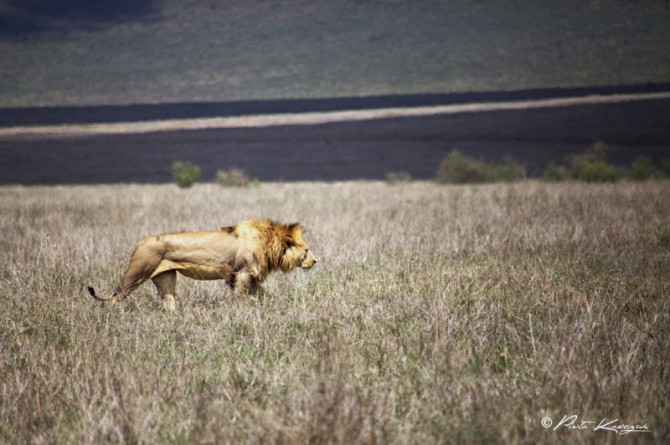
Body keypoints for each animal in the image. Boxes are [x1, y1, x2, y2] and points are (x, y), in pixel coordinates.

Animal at [88, 218, 318, 308]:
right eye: (306, 250)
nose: (315, 261)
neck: (269, 243)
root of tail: (139, 243)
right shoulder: (242, 273)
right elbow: (241, 298)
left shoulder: (249, 276)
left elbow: (263, 296)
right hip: (136, 273)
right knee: (113, 297)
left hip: (165, 277)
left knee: (168, 304)